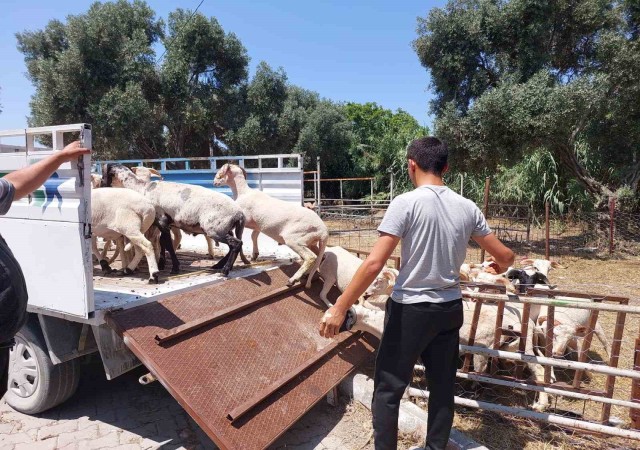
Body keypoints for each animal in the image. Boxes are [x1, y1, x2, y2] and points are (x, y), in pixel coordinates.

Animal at [104, 163, 246, 276]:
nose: (103, 185)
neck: (142, 189)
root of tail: (239, 214)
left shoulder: (162, 220)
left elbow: (167, 243)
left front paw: (175, 268)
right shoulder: (165, 224)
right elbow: (163, 242)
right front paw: (163, 264)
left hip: (215, 229)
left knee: (236, 244)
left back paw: (225, 270)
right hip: (225, 228)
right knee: (235, 245)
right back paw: (218, 266)